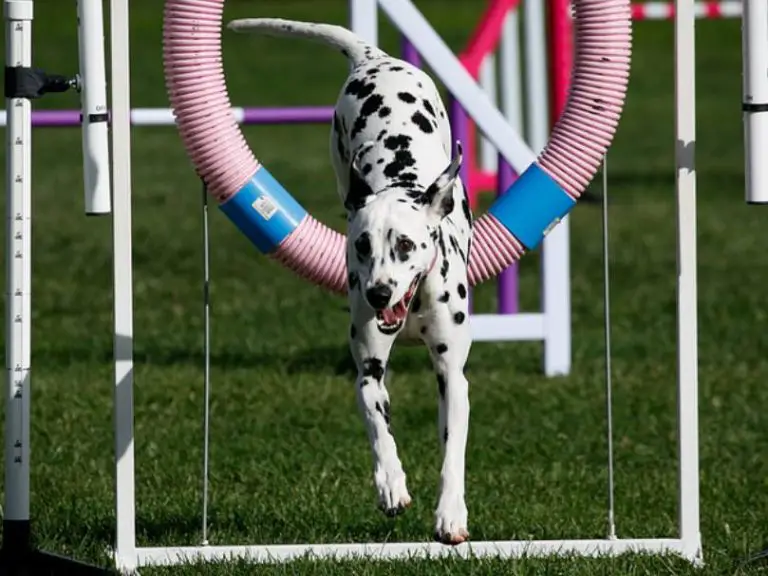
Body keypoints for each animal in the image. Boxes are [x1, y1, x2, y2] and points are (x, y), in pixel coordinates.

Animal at [228, 15, 474, 544]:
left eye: (406, 245)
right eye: (362, 245)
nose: (379, 292)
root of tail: (374, 58)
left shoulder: (452, 374)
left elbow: (452, 452)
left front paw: (450, 514)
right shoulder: (369, 370)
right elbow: (377, 425)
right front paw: (392, 484)